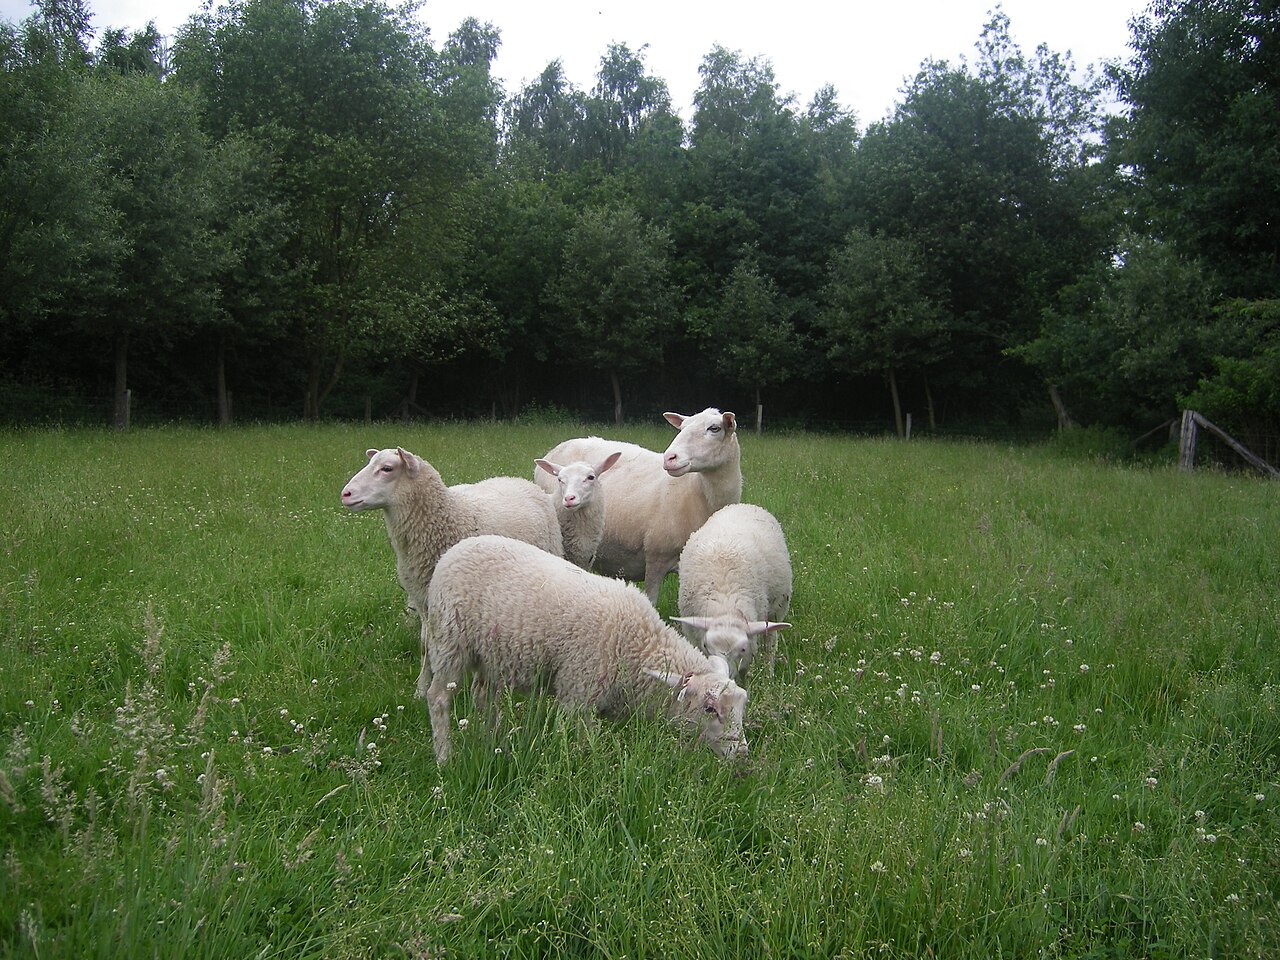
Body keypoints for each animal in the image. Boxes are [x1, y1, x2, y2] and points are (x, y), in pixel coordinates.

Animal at [419, 534, 750, 763]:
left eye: (741, 705)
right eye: (710, 709)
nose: (742, 756)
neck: (636, 643)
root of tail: (454, 551)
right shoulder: (578, 694)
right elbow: (579, 746)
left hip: (489, 654)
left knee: (483, 698)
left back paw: (495, 741)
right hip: (449, 641)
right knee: (438, 698)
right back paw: (444, 757)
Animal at [534, 408, 743, 604]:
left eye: (714, 428)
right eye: (682, 428)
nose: (669, 458)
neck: (697, 494)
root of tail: (558, 447)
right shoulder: (656, 559)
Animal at [675, 503, 792, 680]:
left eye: (743, 649)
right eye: (705, 645)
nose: (721, 674)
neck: (726, 603)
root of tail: (744, 505)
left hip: (776, 609)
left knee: (770, 642)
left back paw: (769, 673)